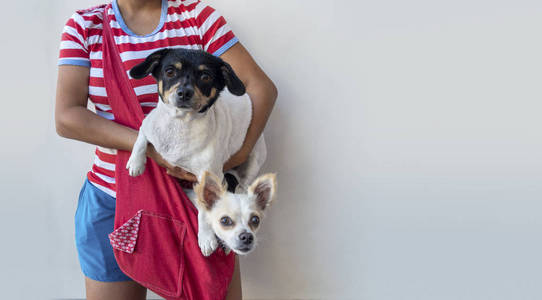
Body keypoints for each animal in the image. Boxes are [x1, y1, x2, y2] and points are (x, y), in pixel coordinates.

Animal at [127, 49, 276, 255]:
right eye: (170, 72)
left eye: (206, 76)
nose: (184, 92)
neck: (180, 124)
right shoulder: (148, 124)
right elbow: (141, 138)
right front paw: (136, 163)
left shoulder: (210, 175)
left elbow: (205, 212)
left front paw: (206, 238)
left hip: (254, 159)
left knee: (244, 185)